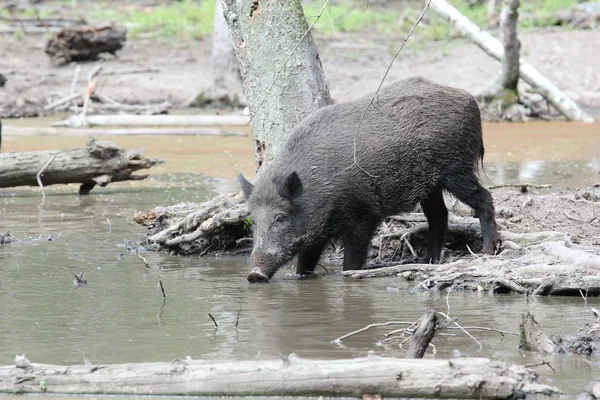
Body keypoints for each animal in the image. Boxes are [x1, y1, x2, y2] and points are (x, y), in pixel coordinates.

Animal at [237, 76, 500, 282]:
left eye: (280, 218)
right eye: (253, 220)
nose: (254, 274)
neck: (318, 187)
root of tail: (470, 99)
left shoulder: (363, 215)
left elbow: (351, 262)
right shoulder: (316, 232)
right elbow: (306, 263)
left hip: (456, 169)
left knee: (484, 199)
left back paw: (486, 252)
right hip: (431, 185)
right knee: (439, 216)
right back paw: (429, 261)